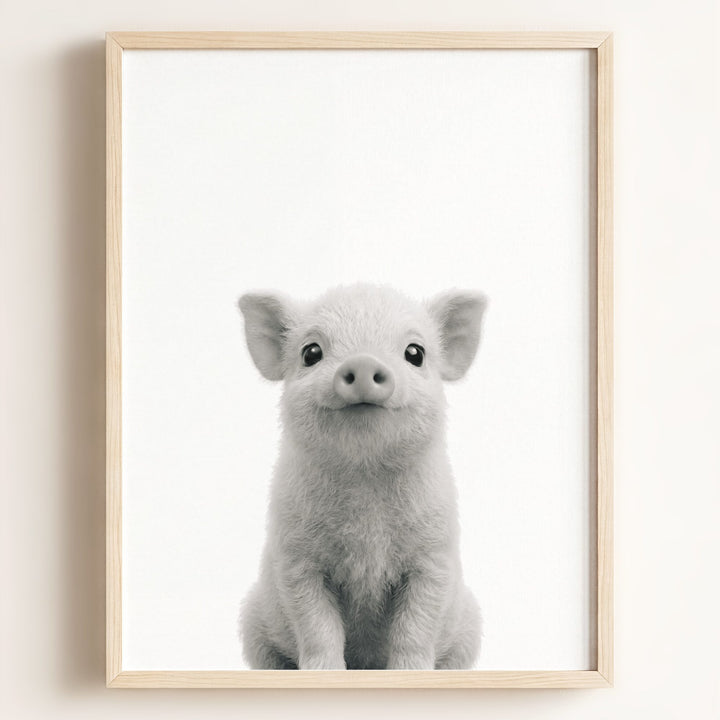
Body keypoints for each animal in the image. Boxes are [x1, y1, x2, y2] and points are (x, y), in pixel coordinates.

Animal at [237, 284, 487, 670]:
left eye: (415, 353)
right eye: (311, 353)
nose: (363, 361)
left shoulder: (434, 557)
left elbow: (416, 627)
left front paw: (410, 672)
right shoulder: (296, 559)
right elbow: (317, 626)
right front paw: (324, 672)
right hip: (253, 625)